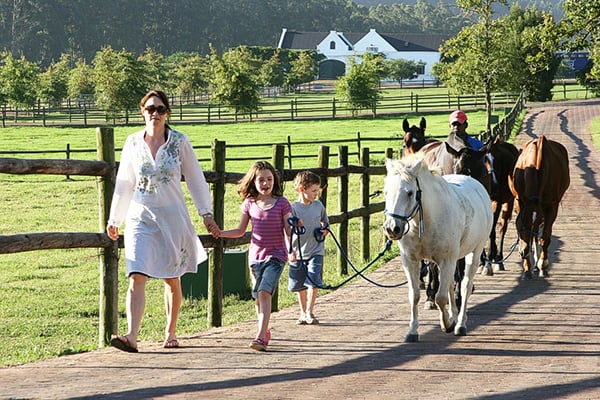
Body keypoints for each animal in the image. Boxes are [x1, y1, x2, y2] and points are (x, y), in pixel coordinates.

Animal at [383, 155, 493, 341]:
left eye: (409, 192)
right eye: (385, 192)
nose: (392, 228)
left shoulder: (447, 260)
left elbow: (441, 297)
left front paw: (447, 324)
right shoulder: (411, 260)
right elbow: (414, 295)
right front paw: (412, 331)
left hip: (474, 253)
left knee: (465, 285)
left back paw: (460, 323)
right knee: (450, 285)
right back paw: (454, 316)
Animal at [508, 135, 570, 280]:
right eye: (519, 227)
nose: (523, 252)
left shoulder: (551, 206)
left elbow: (544, 236)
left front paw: (542, 264)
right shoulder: (522, 202)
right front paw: (527, 268)